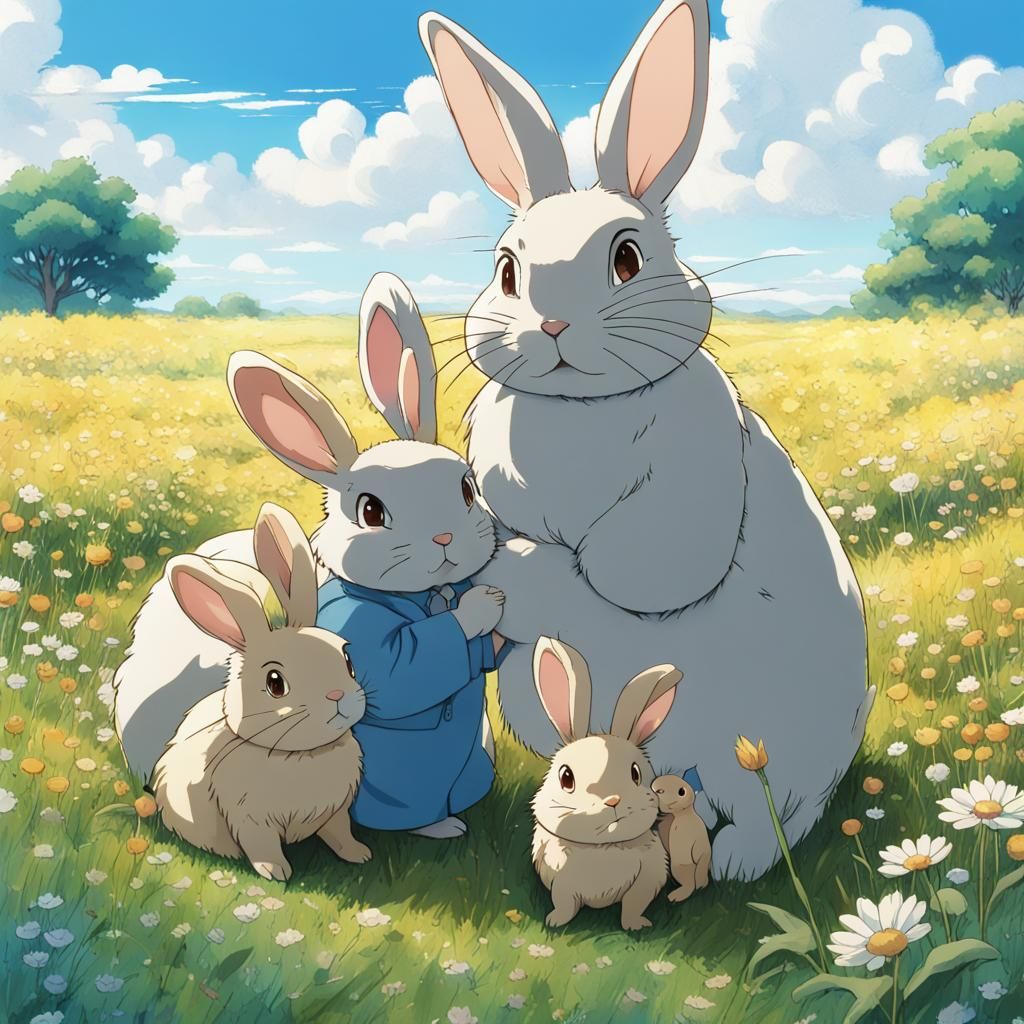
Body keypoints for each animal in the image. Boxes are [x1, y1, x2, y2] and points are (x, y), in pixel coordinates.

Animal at [113, 272, 502, 801]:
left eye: (467, 487)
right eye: (370, 511)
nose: (444, 538)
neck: (423, 594)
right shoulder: (360, 629)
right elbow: (407, 667)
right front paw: (482, 606)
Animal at [152, 502, 370, 882]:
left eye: (347, 661)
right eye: (275, 683)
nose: (336, 696)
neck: (300, 754)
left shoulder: (335, 812)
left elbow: (341, 834)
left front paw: (359, 854)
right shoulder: (249, 820)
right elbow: (262, 847)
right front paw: (276, 872)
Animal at [420, 0, 873, 881]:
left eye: (627, 258)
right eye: (506, 272)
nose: (552, 326)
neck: (577, 407)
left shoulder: (686, 482)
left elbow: (628, 573)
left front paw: (519, 572)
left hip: (757, 740)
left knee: (774, 813)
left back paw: (732, 865)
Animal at [530, 636, 680, 931]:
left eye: (635, 774)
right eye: (566, 777)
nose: (612, 800)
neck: (602, 847)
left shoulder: (646, 880)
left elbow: (633, 905)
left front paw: (636, 926)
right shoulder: (561, 884)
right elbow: (565, 904)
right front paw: (555, 922)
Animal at [653, 774, 712, 903]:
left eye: (681, 792)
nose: (656, 788)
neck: (683, 816)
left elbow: (702, 854)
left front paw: (700, 883)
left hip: (678, 868)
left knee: (690, 885)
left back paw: (676, 896)